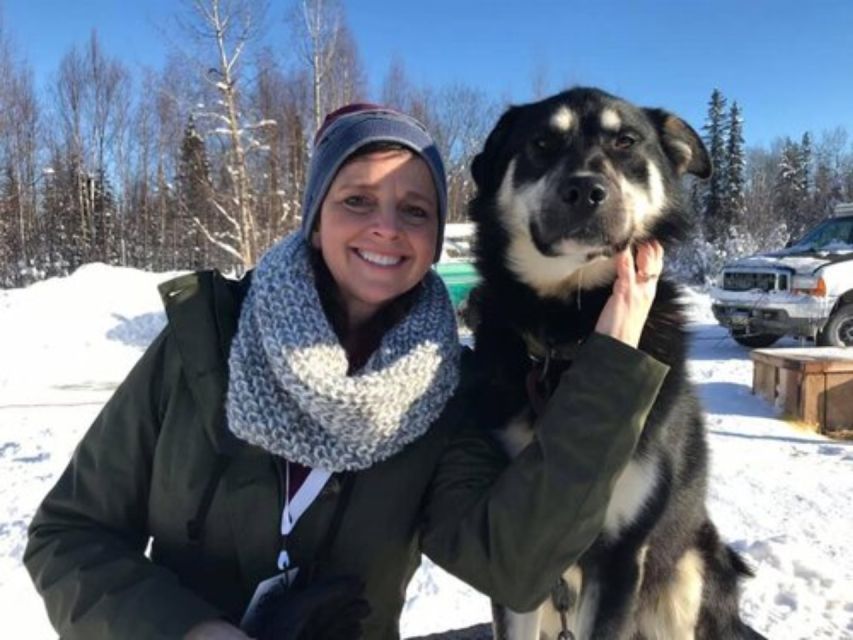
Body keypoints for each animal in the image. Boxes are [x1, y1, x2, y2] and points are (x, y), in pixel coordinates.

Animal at [466, 89, 764, 640]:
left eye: (625, 142)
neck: (569, 336)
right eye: (542, 143)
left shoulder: (621, 555)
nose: (585, 189)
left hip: (684, 578)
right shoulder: (514, 554)